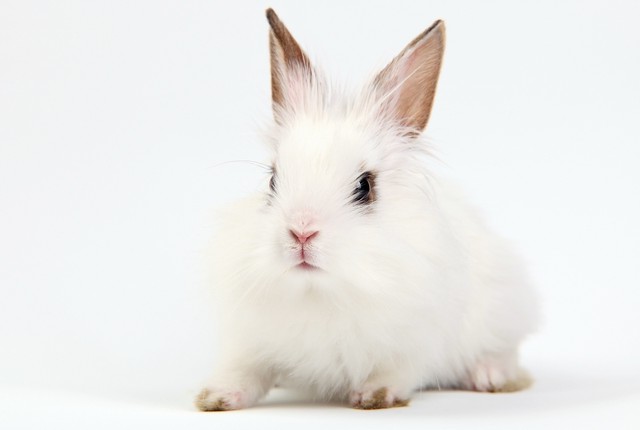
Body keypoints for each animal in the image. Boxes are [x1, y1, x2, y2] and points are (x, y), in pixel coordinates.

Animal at [196, 8, 538, 411]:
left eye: (365, 187)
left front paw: (375, 395)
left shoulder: (417, 343)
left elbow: (400, 370)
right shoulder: (252, 343)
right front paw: (216, 396)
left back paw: (489, 376)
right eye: (272, 181)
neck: (321, 293)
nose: (301, 232)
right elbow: (246, 371)